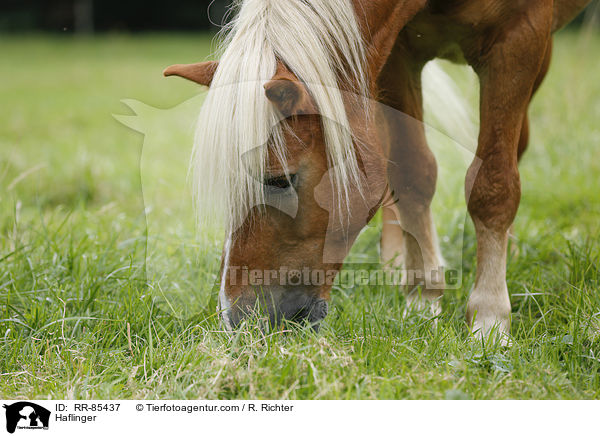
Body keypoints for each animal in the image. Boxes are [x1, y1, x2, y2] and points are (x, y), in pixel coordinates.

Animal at [163, 0, 592, 338]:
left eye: (280, 180)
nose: (238, 320)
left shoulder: (520, 37)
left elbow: (495, 183)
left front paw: (489, 319)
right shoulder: (398, 52)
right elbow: (413, 174)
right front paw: (422, 301)